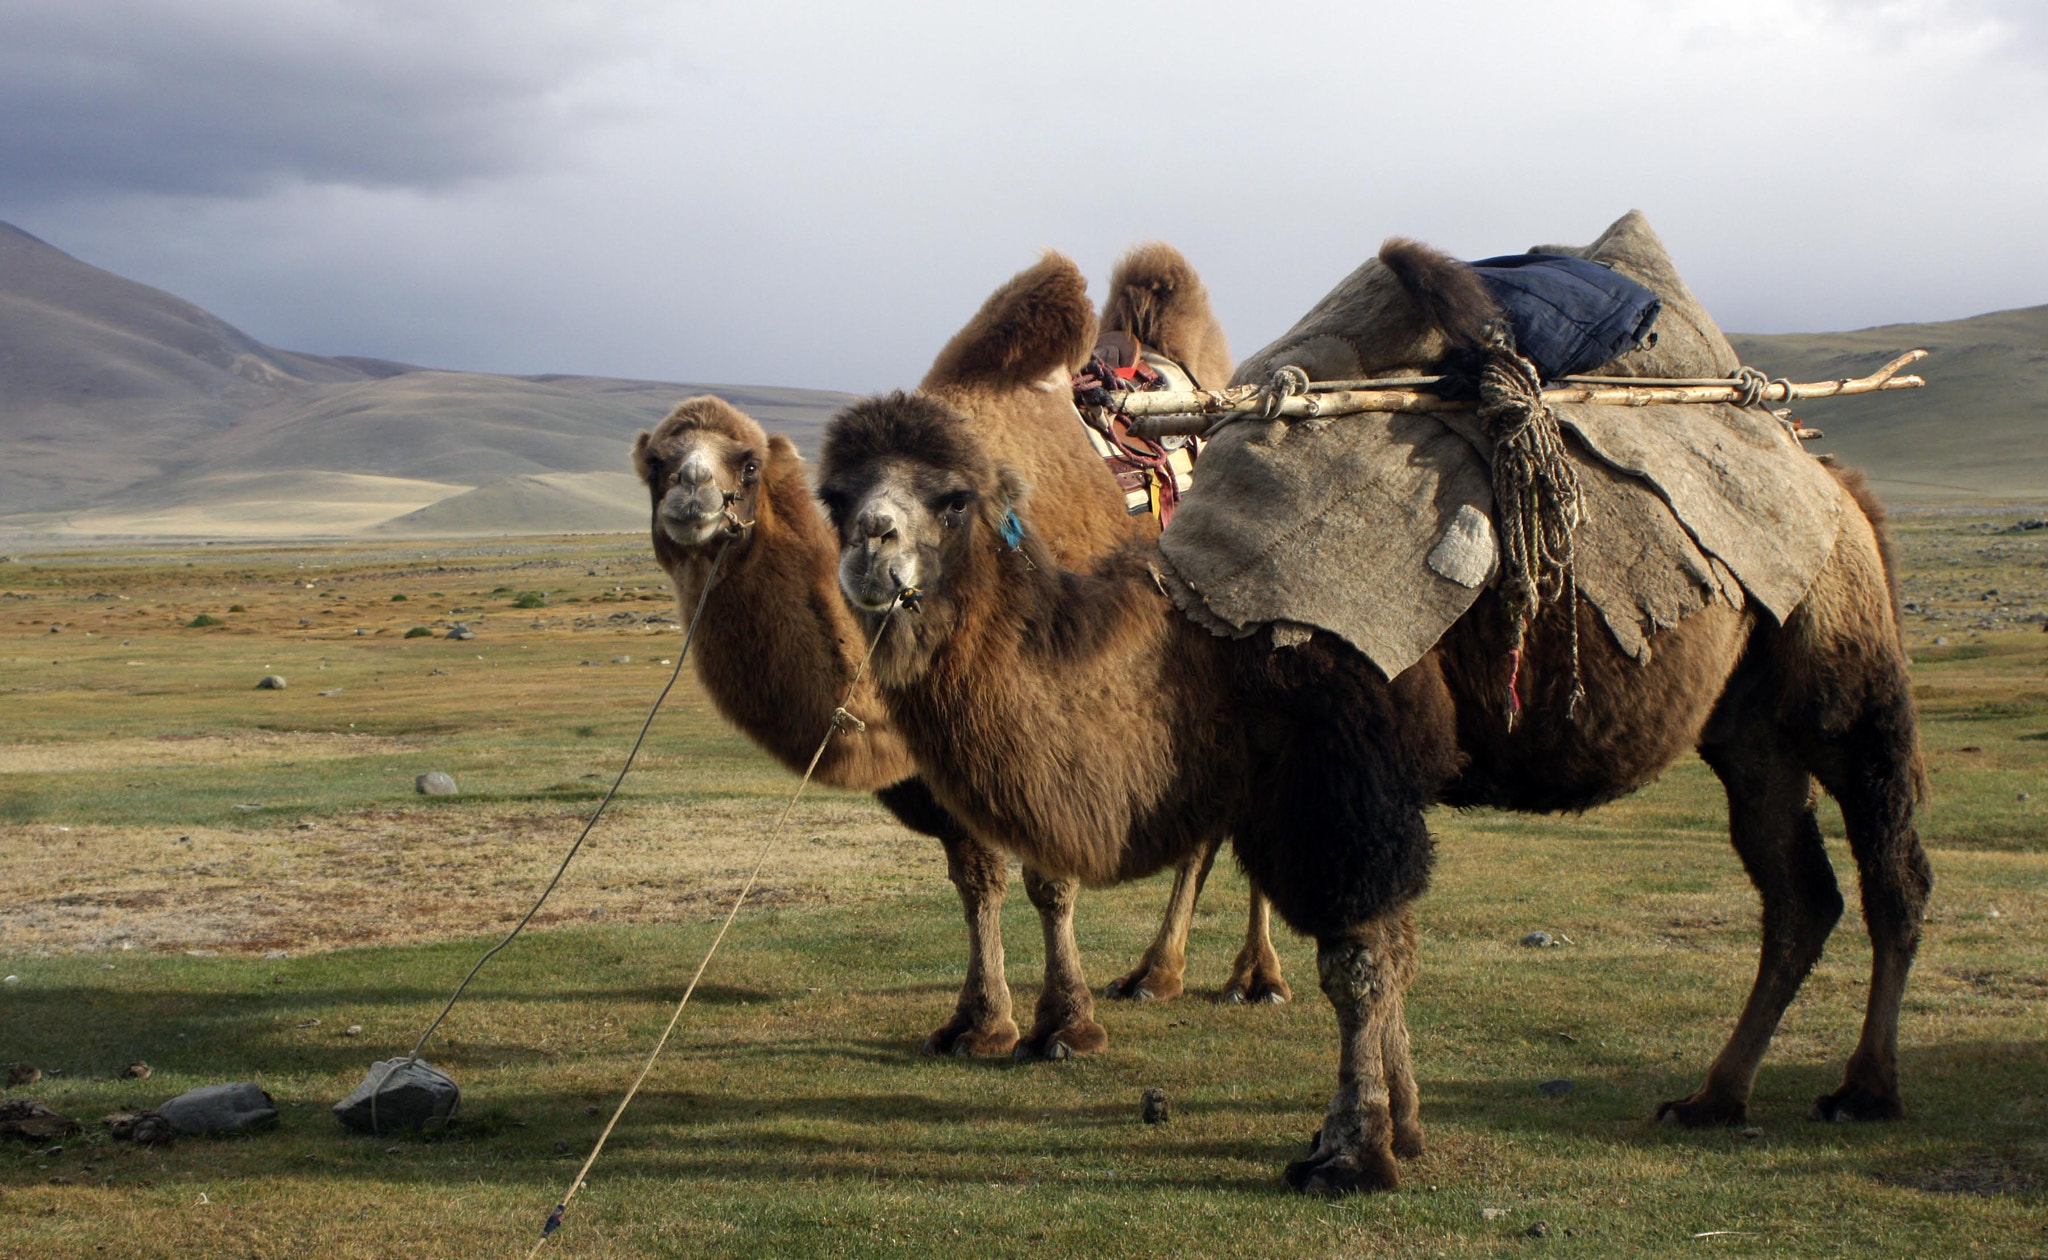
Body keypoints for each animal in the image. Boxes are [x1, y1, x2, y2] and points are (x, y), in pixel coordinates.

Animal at [633, 245, 1282, 1063]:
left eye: (746, 463)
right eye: (656, 461)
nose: (691, 496)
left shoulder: (1044, 720)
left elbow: (1050, 880)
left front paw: (1065, 1025)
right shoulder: (941, 767)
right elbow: (975, 878)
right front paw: (979, 1022)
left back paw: (1255, 978)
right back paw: (1154, 975)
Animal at [817, 241, 1930, 1194]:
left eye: (952, 497)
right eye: (833, 495)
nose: (870, 548)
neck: (1198, 632)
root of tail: (1834, 481)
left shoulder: (1344, 756)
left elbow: (1356, 958)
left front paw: (1350, 1153)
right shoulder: (1306, 778)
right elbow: (1388, 947)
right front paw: (1403, 1124)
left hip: (1838, 648)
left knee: (1887, 857)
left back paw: (1863, 1089)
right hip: (1746, 724)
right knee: (1795, 891)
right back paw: (1712, 1097)